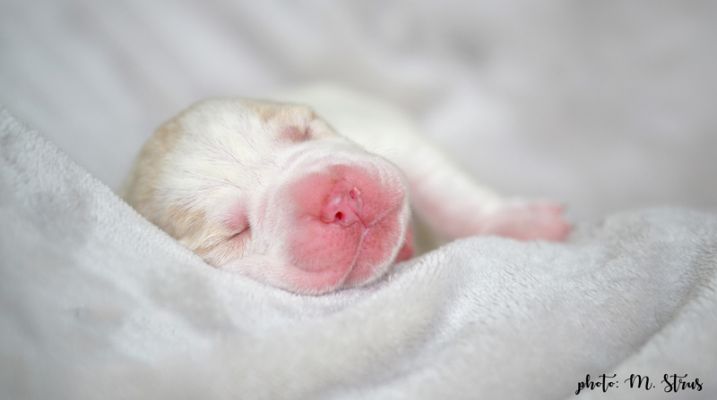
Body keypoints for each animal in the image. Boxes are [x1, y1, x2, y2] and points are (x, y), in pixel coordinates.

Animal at [123, 86, 572, 296]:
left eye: (302, 130)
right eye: (234, 232)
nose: (340, 203)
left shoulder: (390, 138)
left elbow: (444, 189)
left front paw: (527, 224)